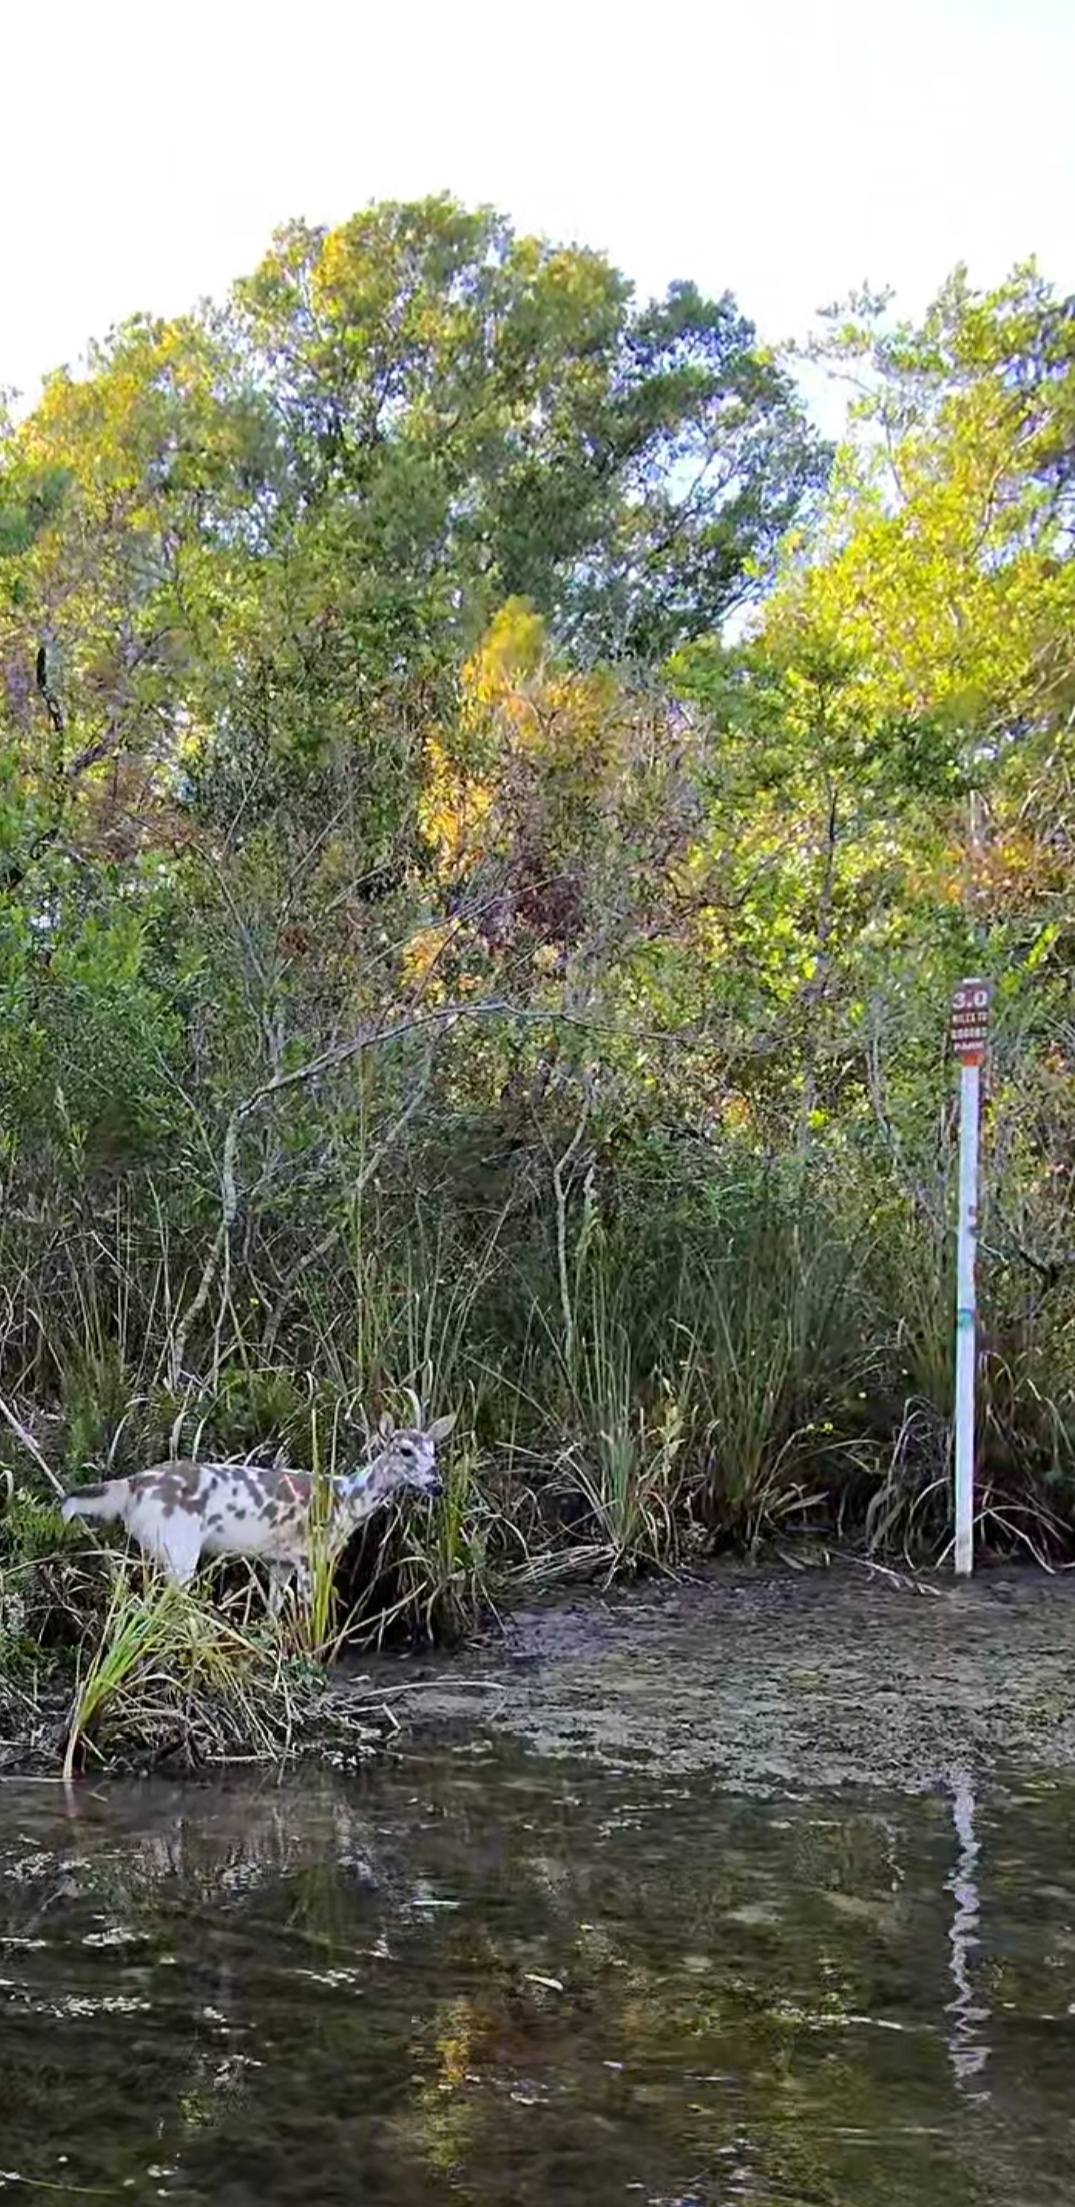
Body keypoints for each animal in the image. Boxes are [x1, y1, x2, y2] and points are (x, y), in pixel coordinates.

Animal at [60, 1409, 457, 1612]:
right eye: (404, 1450)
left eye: (433, 1451)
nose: (437, 1484)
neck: (347, 1500)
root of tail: (133, 1485)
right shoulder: (310, 1554)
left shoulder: (280, 1560)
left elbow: (274, 1612)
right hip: (178, 1545)